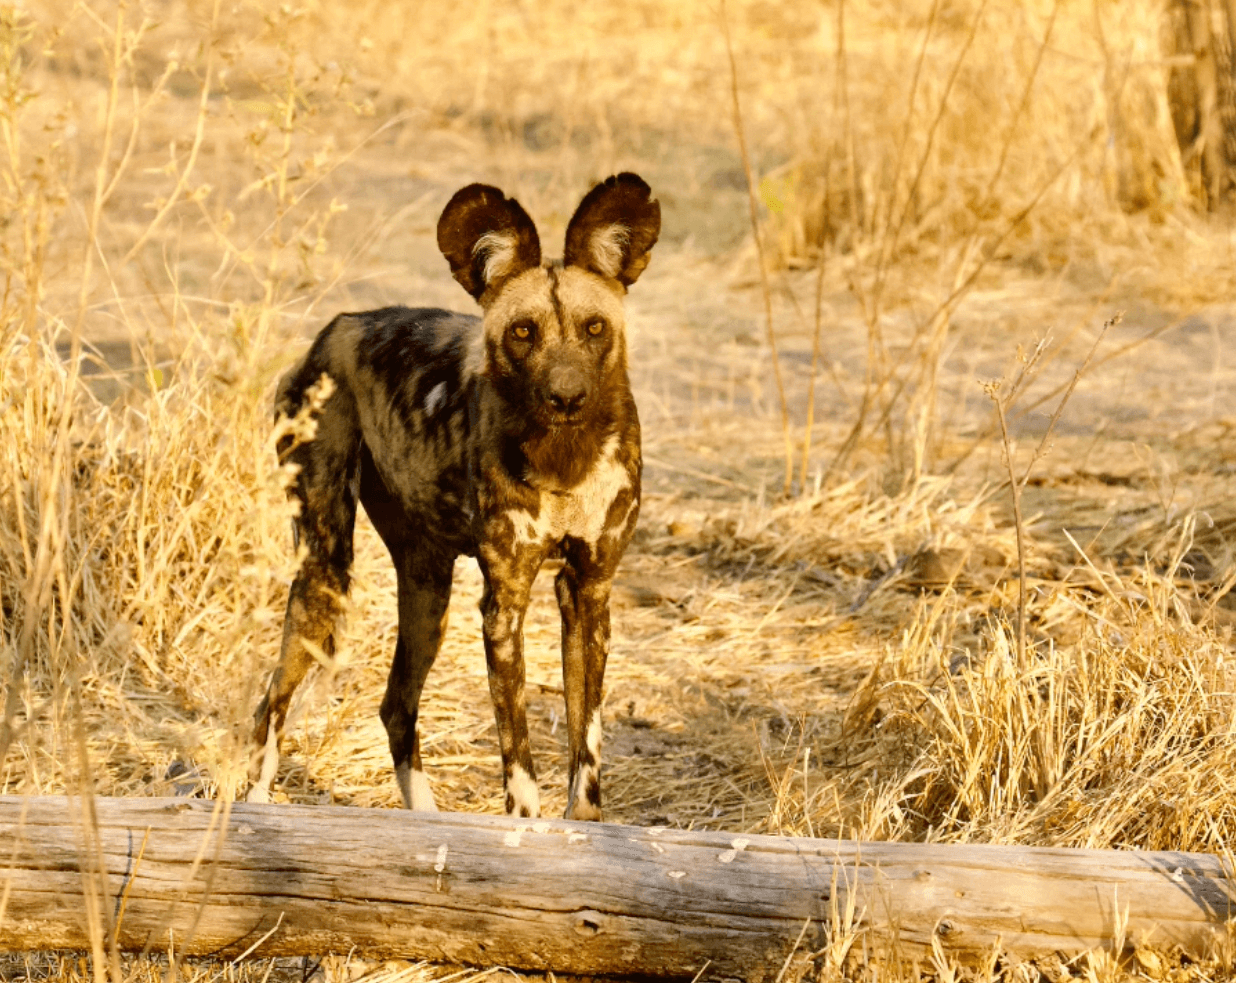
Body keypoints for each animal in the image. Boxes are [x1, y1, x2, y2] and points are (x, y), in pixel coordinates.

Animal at [245, 173, 662, 821]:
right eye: (523, 331)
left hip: (427, 591)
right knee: (271, 705)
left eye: (595, 328)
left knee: (396, 705)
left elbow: (585, 758)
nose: (566, 398)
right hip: (325, 575)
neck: (565, 462)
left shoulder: (589, 596)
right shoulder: (505, 606)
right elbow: (520, 763)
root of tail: (336, 327)